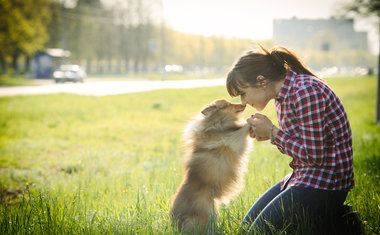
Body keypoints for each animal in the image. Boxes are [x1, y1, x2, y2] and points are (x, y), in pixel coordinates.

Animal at [169, 98, 252, 232]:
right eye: (227, 105)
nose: (244, 104)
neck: (218, 122)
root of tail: (174, 225)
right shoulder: (232, 141)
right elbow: (243, 128)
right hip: (205, 216)